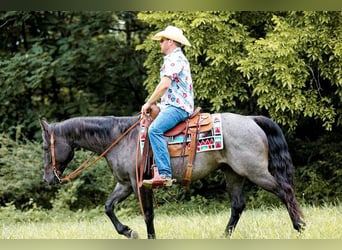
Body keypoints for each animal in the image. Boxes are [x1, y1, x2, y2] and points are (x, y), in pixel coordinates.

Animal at [39, 113, 304, 238]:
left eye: (44, 147)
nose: (48, 179)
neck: (121, 138)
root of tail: (251, 119)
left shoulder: (139, 184)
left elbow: (148, 214)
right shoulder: (125, 184)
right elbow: (108, 207)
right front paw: (128, 231)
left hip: (255, 171)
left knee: (284, 190)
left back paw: (300, 226)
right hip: (234, 174)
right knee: (238, 205)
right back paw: (224, 236)